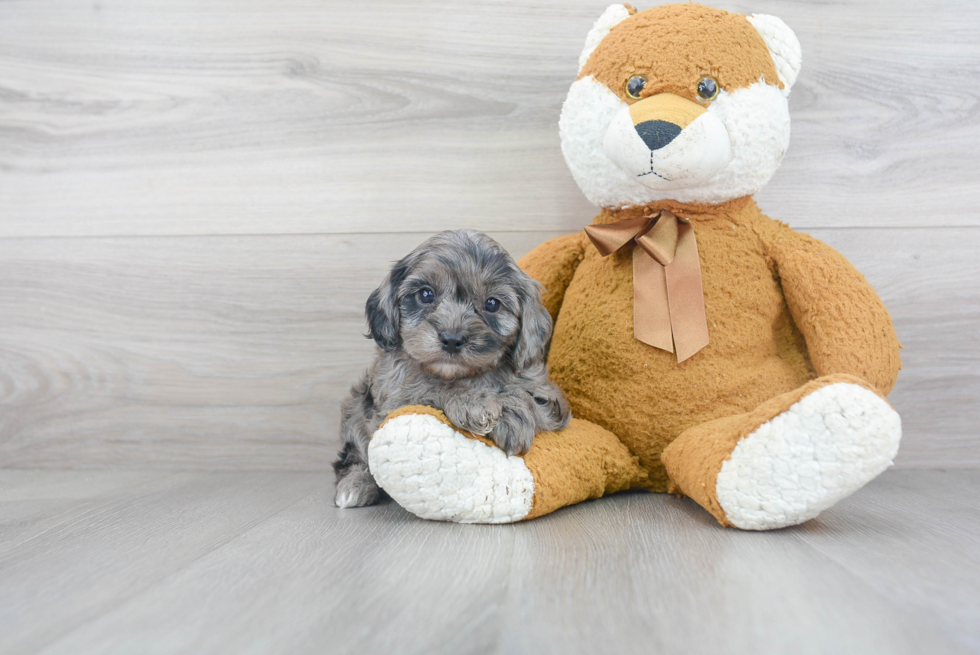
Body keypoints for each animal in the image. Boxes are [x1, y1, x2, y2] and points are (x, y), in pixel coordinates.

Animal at [334, 228, 572, 510]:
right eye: (426, 295)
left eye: (492, 304)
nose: (451, 339)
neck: (461, 374)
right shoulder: (396, 397)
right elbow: (434, 390)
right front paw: (473, 403)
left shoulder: (549, 399)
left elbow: (526, 397)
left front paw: (511, 413)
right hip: (356, 409)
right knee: (356, 453)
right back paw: (355, 485)